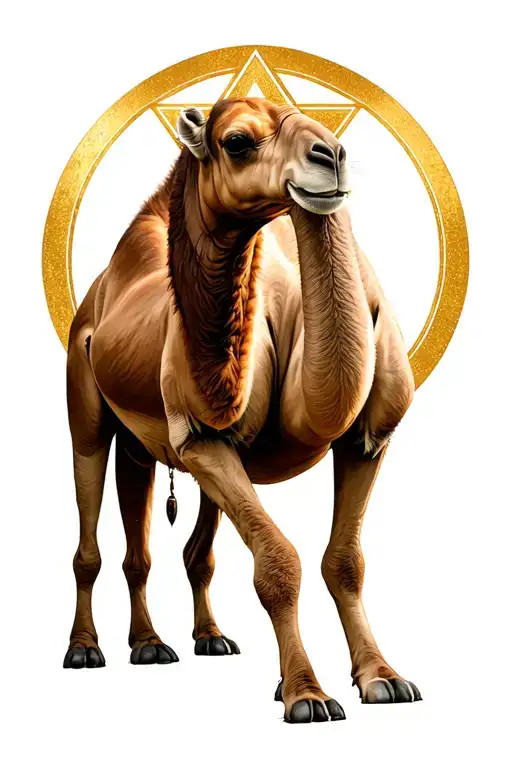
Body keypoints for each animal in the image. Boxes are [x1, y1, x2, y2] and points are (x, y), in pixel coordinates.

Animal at [63, 96, 420, 723]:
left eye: (321, 127)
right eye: (237, 142)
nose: (330, 155)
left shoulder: (369, 439)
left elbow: (345, 562)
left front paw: (382, 678)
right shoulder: (200, 435)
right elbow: (278, 562)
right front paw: (307, 695)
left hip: (150, 446)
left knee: (165, 534)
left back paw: (175, 642)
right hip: (85, 409)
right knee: (91, 520)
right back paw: (86, 650)